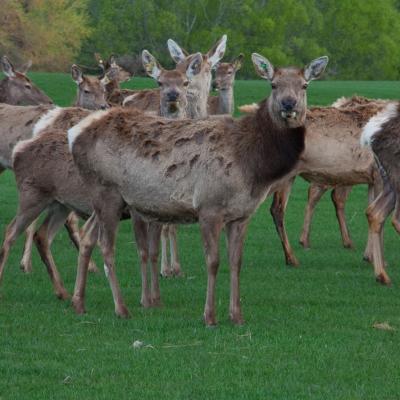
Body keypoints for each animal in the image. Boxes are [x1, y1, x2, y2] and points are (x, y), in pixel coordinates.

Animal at [0, 50, 203, 300]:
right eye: (160, 82)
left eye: (186, 82)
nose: (173, 96)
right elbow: (145, 247)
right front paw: (154, 287)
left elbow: (160, 237)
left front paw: (171, 273)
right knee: (25, 228)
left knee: (44, 231)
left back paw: (61, 286)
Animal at [65, 52, 328, 324]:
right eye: (273, 84)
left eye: (305, 86)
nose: (289, 104)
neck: (252, 166)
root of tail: (74, 134)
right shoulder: (208, 206)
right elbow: (213, 261)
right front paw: (209, 316)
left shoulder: (242, 214)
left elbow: (236, 262)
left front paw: (237, 315)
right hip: (107, 192)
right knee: (106, 246)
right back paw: (121, 308)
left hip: (108, 199)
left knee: (87, 237)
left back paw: (78, 303)